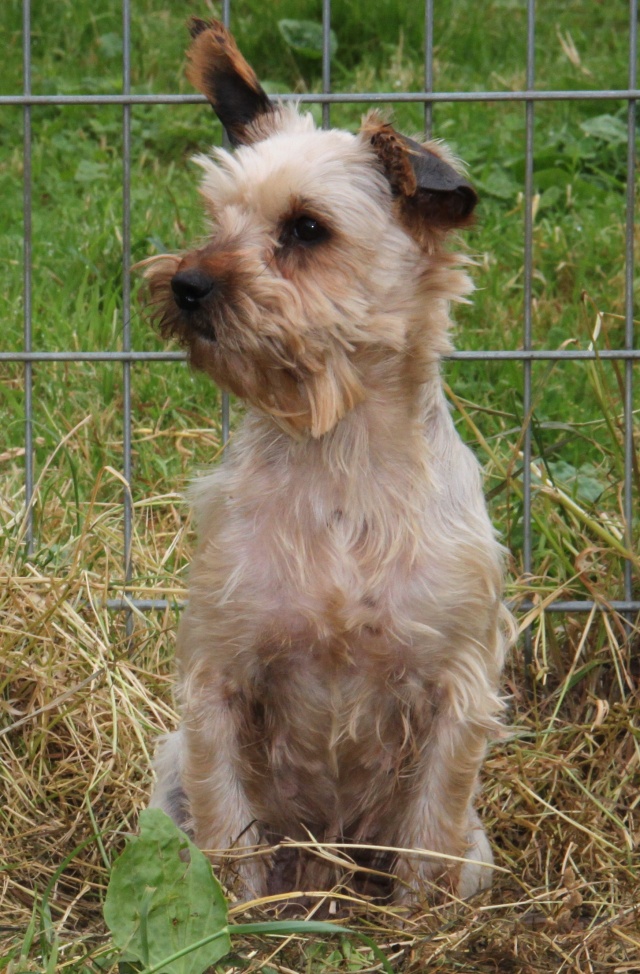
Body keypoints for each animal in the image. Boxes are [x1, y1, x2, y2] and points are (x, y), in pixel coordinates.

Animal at [144, 19, 510, 912]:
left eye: (307, 229)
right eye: (216, 216)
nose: (187, 282)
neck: (335, 452)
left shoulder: (459, 689)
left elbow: (431, 834)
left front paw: (422, 926)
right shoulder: (218, 679)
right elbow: (228, 825)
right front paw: (240, 918)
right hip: (167, 782)